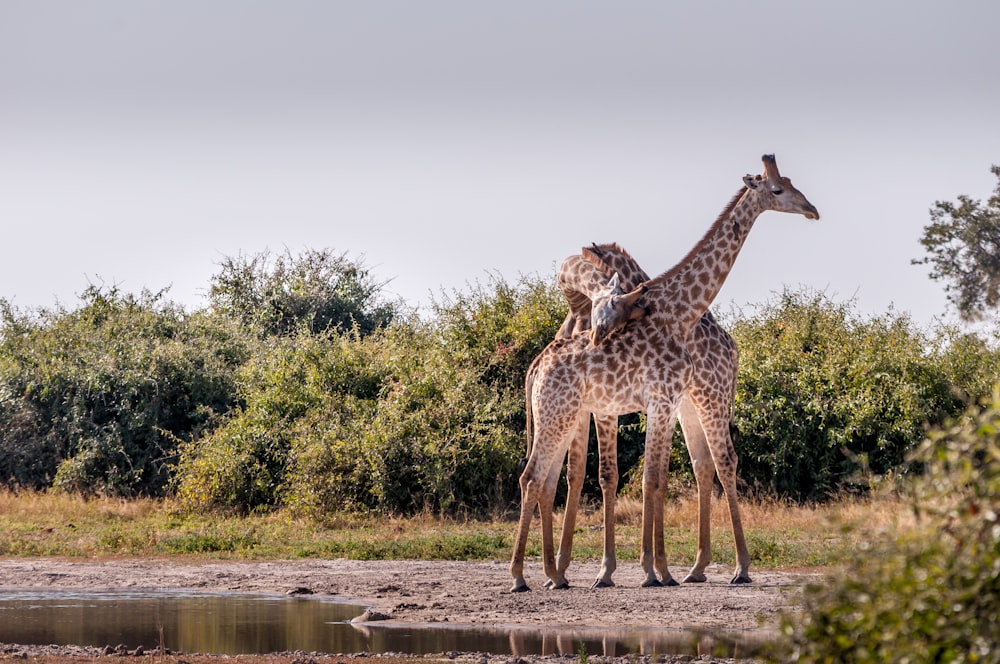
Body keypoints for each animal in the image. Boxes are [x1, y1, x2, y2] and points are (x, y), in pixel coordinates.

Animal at [544, 245, 748, 592]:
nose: (596, 338)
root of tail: (732, 349)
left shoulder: (604, 408)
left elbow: (607, 474)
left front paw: (606, 571)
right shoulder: (585, 408)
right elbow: (575, 472)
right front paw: (561, 568)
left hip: (712, 399)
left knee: (725, 460)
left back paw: (741, 568)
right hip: (688, 407)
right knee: (703, 463)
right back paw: (697, 568)